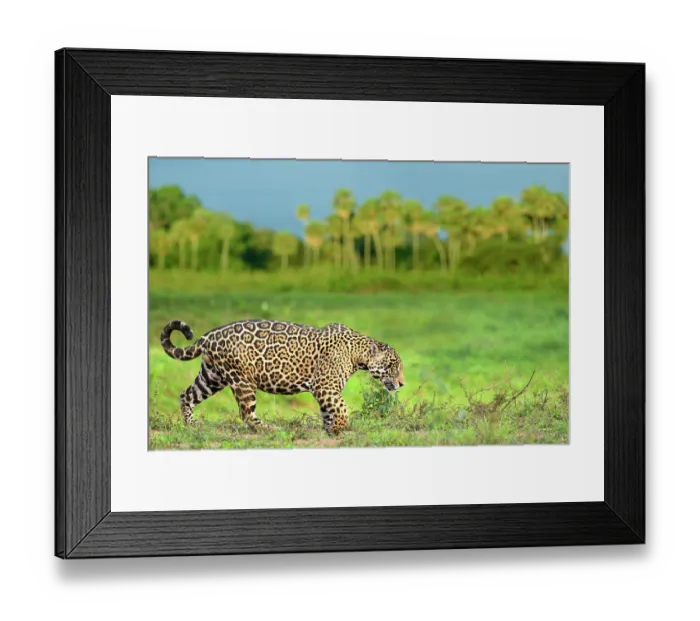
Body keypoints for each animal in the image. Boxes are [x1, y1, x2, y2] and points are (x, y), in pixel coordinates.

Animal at [160, 318, 405, 435]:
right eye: (393, 365)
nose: (402, 383)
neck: (357, 353)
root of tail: (207, 335)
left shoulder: (327, 391)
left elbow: (329, 411)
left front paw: (330, 429)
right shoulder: (324, 387)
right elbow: (342, 408)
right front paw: (338, 427)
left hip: (212, 376)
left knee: (186, 395)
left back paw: (191, 424)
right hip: (242, 380)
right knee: (246, 414)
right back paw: (270, 429)